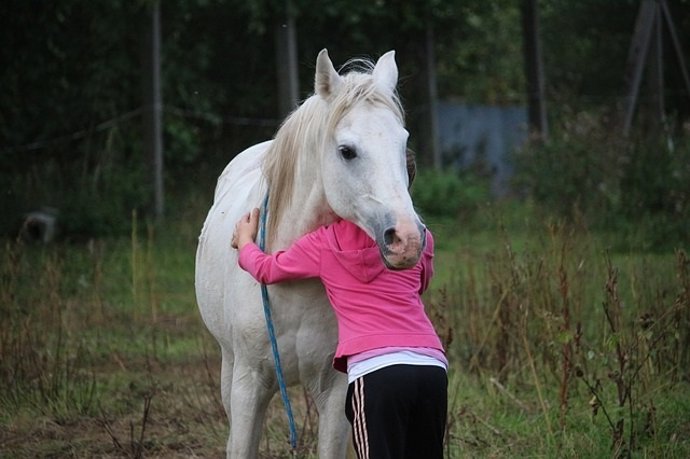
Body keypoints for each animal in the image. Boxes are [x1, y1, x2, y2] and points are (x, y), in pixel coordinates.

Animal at [195, 49, 425, 458]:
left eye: (403, 145)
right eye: (346, 151)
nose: (408, 239)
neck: (293, 282)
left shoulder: (335, 391)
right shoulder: (248, 384)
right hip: (229, 366)